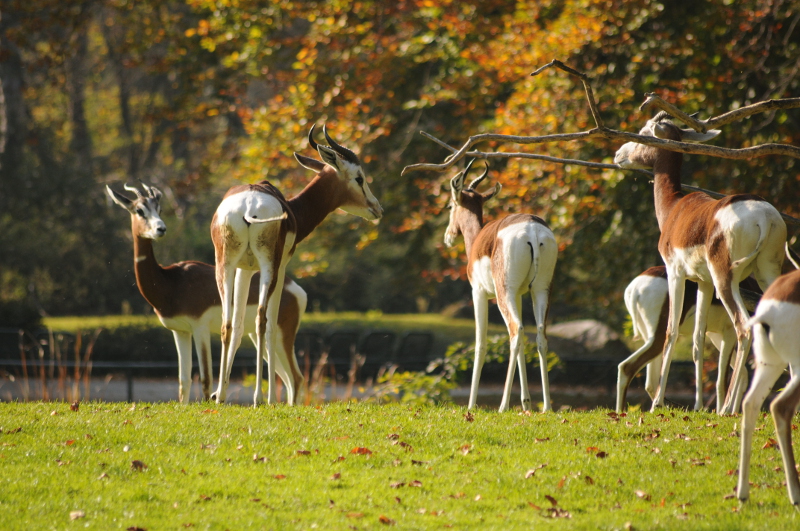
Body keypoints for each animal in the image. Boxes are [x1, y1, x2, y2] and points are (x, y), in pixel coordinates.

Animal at [106, 183, 307, 404]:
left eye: (159, 209)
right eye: (139, 210)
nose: (160, 229)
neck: (171, 282)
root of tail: (295, 288)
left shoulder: (199, 328)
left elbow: (205, 379)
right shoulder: (180, 331)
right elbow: (183, 381)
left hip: (282, 336)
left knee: (295, 377)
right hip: (256, 335)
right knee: (288, 378)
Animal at [211, 124, 382, 405]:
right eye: (360, 178)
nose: (377, 208)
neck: (292, 211)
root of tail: (248, 207)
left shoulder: (244, 270)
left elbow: (236, 326)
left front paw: (220, 393)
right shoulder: (280, 268)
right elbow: (269, 325)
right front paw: (268, 397)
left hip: (224, 265)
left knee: (227, 323)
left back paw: (223, 396)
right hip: (268, 268)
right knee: (262, 321)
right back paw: (261, 397)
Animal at [444, 160, 558, 412]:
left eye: (450, 205)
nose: (448, 237)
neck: (478, 241)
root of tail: (533, 230)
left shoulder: (478, 293)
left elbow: (480, 344)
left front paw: (471, 405)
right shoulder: (520, 295)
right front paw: (526, 403)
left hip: (503, 293)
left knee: (515, 331)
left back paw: (503, 406)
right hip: (540, 290)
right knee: (538, 335)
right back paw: (546, 406)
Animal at [619, 266, 760, 412]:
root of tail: (635, 288)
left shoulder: (714, 335)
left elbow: (742, 373)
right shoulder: (730, 332)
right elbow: (722, 380)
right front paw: (722, 411)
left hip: (651, 338)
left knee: (648, 381)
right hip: (658, 338)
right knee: (627, 367)